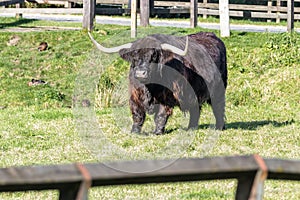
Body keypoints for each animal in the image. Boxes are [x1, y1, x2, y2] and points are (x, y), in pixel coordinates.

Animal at [89, 31, 227, 134]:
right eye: (134, 56)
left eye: (154, 56)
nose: (140, 73)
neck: (149, 88)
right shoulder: (134, 95)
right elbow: (137, 114)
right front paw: (134, 131)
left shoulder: (166, 97)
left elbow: (161, 115)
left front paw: (158, 132)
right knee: (195, 110)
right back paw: (191, 128)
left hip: (219, 90)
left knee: (218, 107)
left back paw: (219, 127)